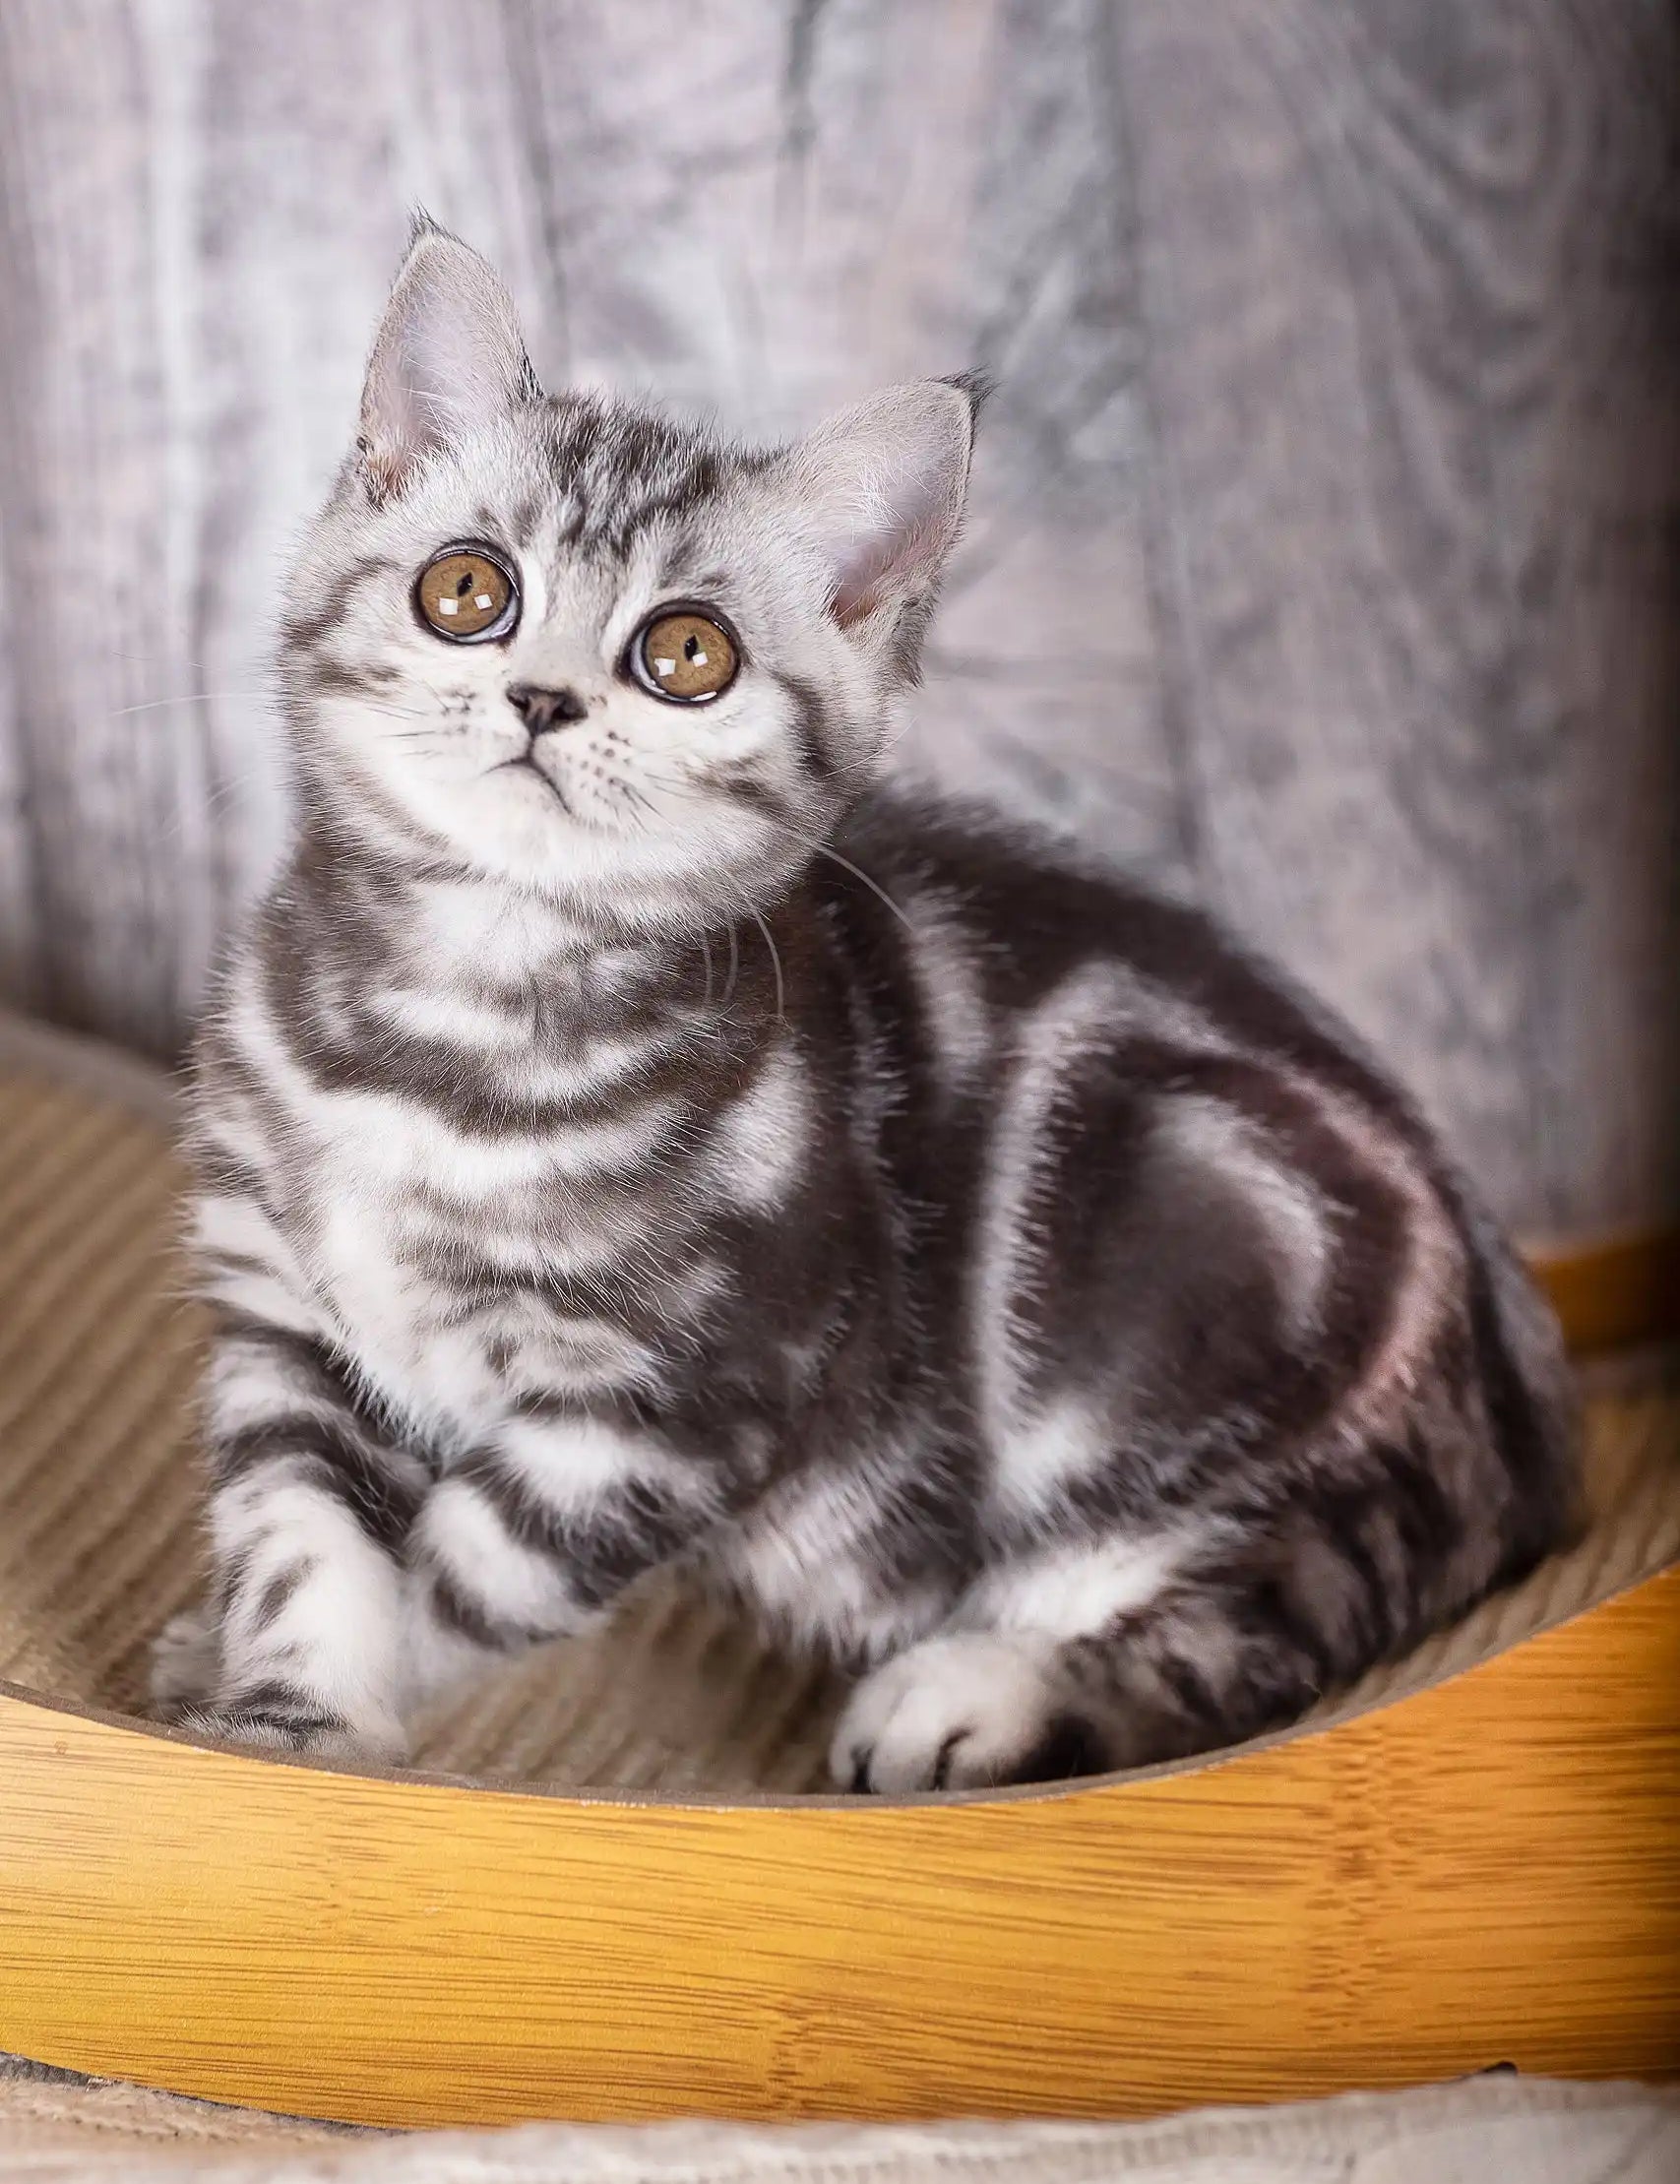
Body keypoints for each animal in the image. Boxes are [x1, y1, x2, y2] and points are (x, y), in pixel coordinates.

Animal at [154, 217, 1573, 1790]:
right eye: (466, 590)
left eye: (685, 654)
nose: (540, 699)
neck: (449, 1021)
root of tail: (1516, 1386)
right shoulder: (286, 1314)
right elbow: (299, 1535)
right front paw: (277, 1718)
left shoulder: (682, 1393)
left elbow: (465, 1565)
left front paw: (363, 1717)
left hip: (1216, 1270)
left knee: (1253, 1628)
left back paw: (973, 1696)